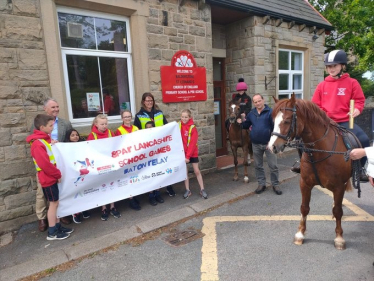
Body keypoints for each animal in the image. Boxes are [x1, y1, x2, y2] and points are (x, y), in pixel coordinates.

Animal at [268, 94, 354, 249]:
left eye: (287, 120)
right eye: (274, 121)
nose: (272, 147)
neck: (320, 151)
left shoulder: (339, 186)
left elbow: (338, 211)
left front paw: (339, 238)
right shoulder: (305, 183)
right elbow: (304, 208)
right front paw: (300, 234)